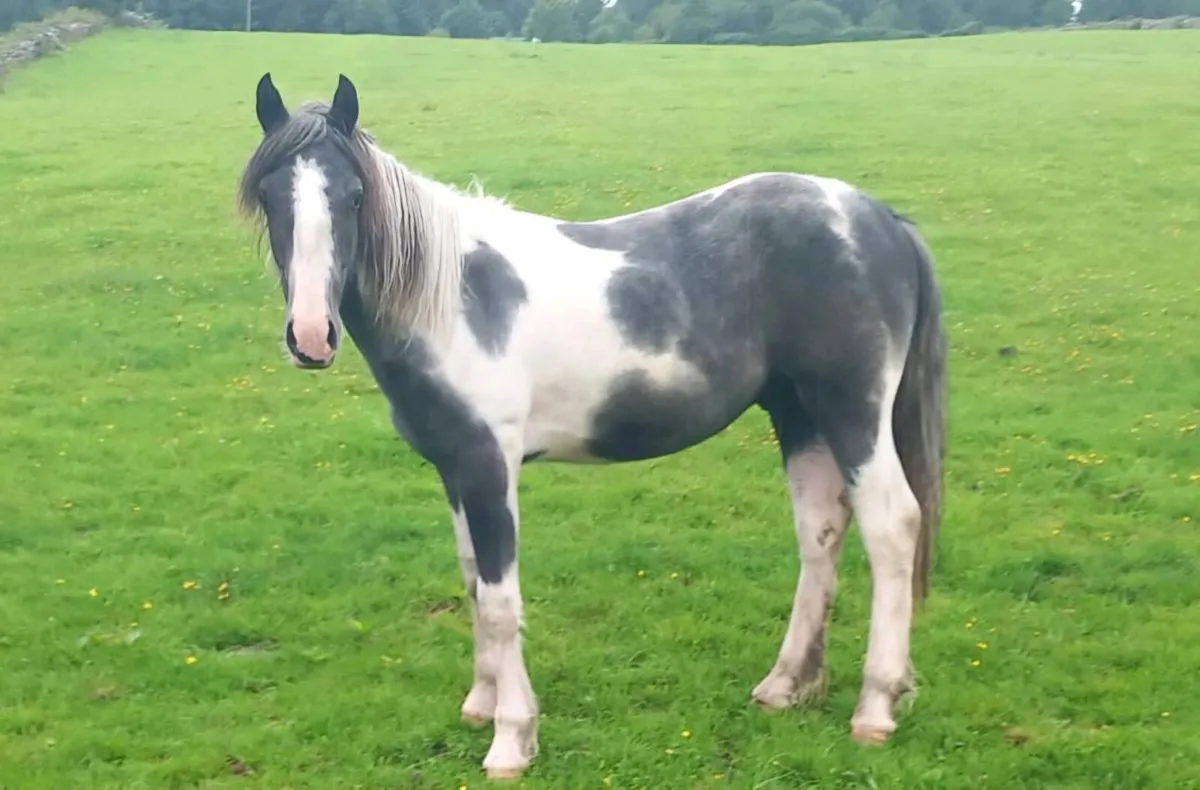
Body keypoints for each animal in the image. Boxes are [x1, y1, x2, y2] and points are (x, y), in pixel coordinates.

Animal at [236, 72, 948, 780]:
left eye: (354, 196)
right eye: (269, 196)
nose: (311, 337)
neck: (455, 299)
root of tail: (879, 220)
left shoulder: (489, 465)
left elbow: (501, 601)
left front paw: (511, 740)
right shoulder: (454, 467)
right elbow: (473, 582)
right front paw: (481, 703)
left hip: (853, 411)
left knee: (892, 526)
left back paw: (876, 707)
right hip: (799, 414)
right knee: (820, 533)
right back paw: (786, 686)